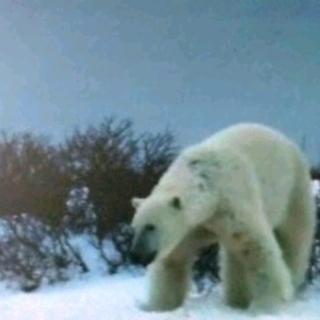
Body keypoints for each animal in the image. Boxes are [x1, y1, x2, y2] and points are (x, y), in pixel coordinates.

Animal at [131, 123, 316, 312]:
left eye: (151, 226)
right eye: (135, 227)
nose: (136, 255)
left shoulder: (232, 203)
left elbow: (257, 248)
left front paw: (265, 305)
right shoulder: (194, 226)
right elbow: (174, 257)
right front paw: (162, 306)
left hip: (295, 191)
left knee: (294, 238)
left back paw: (292, 281)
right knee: (235, 256)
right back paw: (238, 300)